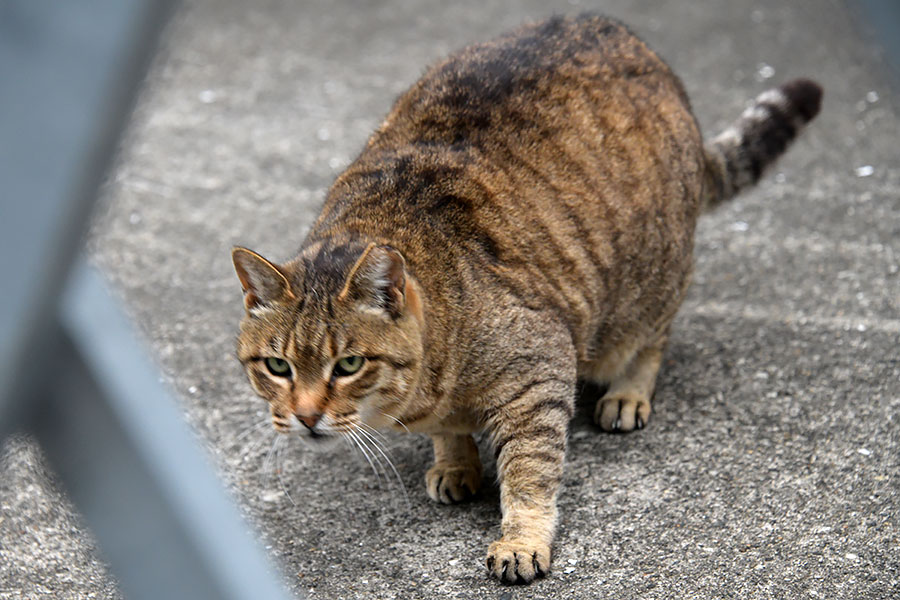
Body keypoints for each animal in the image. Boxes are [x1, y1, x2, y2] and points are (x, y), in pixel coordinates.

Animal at [229, 14, 820, 584]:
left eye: (348, 365)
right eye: (278, 367)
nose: (306, 416)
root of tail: (626, 35)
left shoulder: (539, 372)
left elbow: (528, 473)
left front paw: (520, 539)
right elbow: (450, 433)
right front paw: (455, 462)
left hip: (651, 279)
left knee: (652, 336)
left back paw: (629, 391)